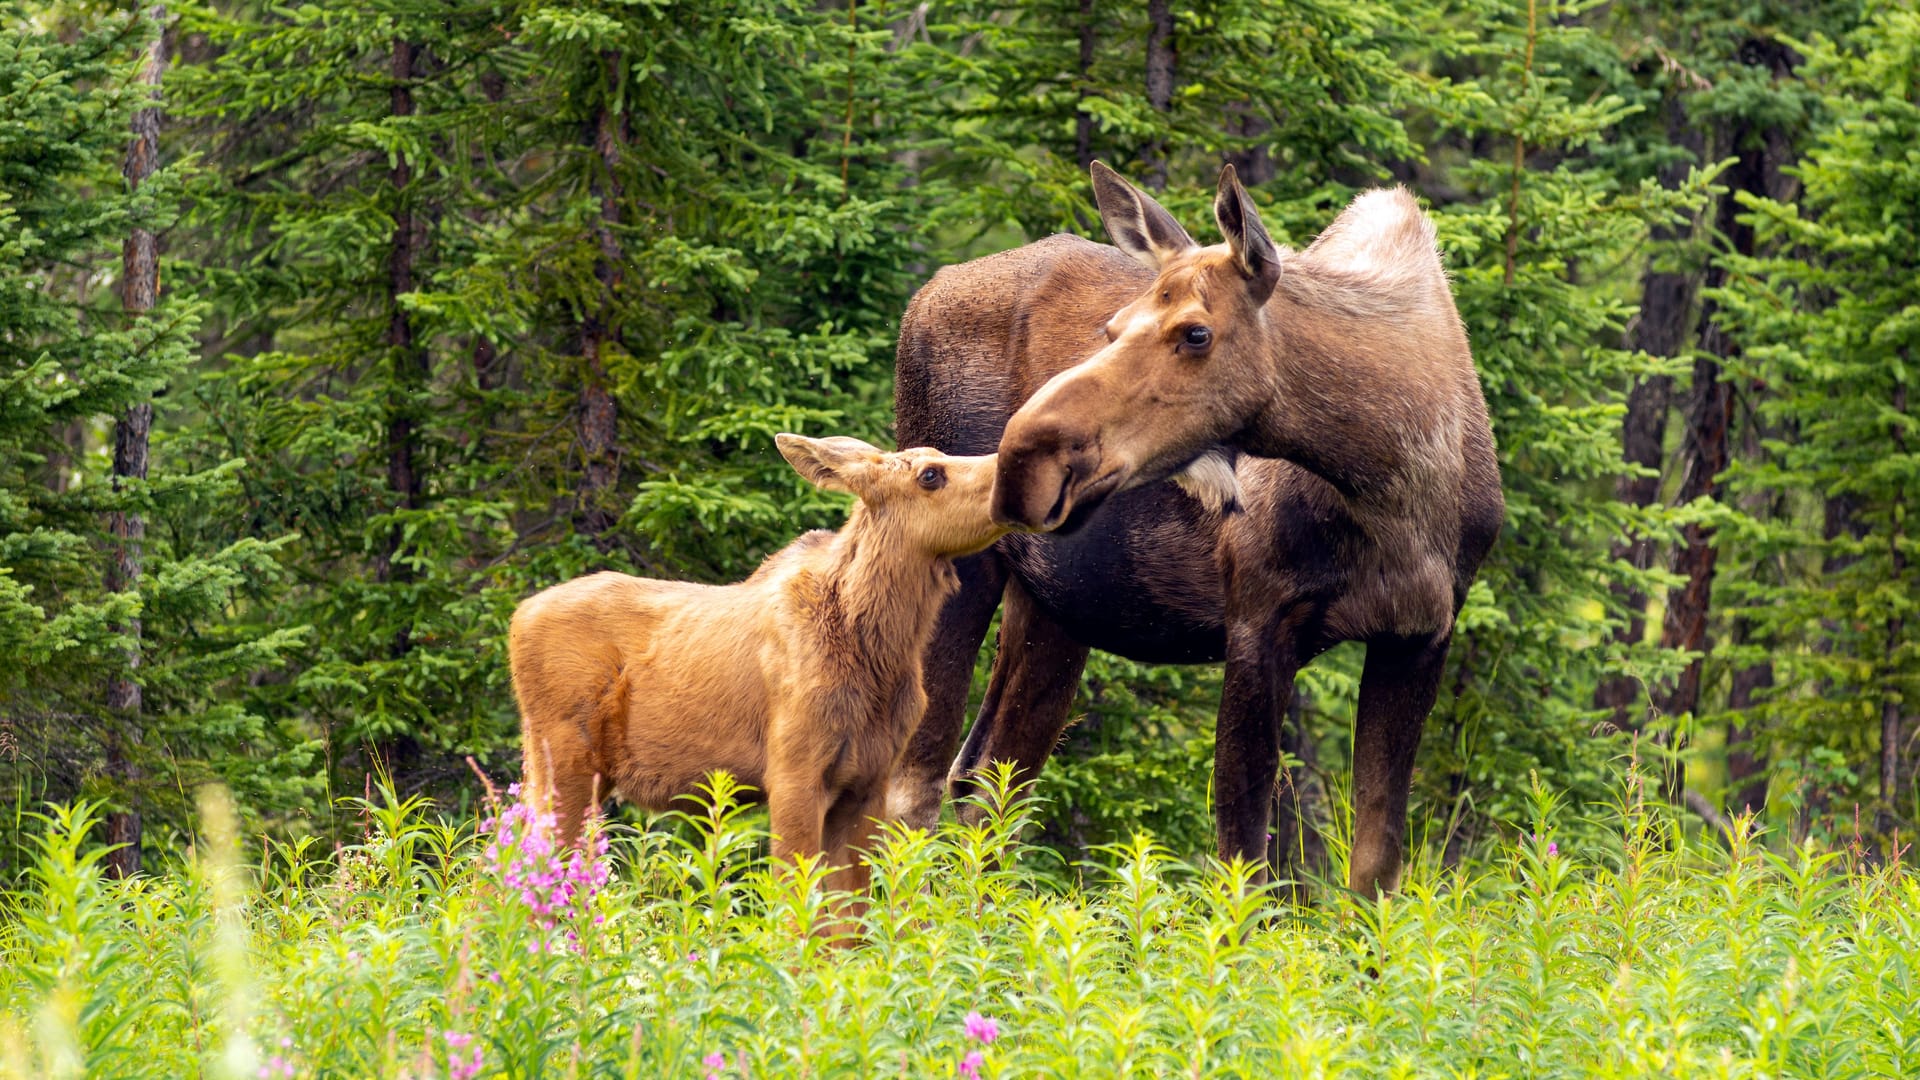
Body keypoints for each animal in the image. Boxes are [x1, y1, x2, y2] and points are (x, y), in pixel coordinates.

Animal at [510, 432, 1006, 903]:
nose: (1006, 469)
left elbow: (850, 914)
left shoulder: (868, 780)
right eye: (930, 475)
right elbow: (795, 901)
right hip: (562, 757)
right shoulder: (792, 772)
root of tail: (517, 618)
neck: (877, 651)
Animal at [883, 161, 1497, 891]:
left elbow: (1374, 869)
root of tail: (923, 294)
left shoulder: (1421, 634)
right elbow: (1244, 861)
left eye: (1195, 331)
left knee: (986, 781)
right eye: (1113, 327)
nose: (1022, 457)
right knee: (911, 782)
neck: (1393, 488)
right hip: (962, 564)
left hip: (1056, 605)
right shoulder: (1258, 617)